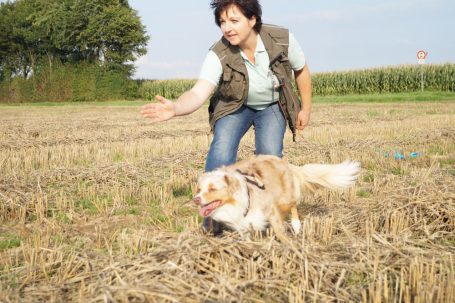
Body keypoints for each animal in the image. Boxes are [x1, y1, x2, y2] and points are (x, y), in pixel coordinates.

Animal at [192, 156, 360, 243]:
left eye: (212, 189)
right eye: (199, 189)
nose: (196, 200)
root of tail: (284, 162)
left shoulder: (270, 210)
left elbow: (279, 231)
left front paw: (289, 246)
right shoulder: (242, 225)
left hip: (284, 198)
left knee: (293, 206)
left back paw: (296, 225)